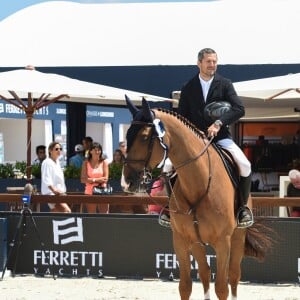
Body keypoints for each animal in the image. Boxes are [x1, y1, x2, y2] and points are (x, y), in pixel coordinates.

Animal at [123, 97, 274, 298]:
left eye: (144, 137)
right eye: (127, 136)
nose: (128, 181)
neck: (198, 184)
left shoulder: (223, 242)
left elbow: (222, 288)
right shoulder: (181, 240)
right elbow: (185, 286)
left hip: (237, 236)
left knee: (234, 275)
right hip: (197, 243)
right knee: (204, 272)